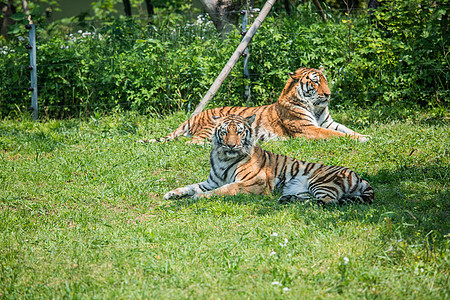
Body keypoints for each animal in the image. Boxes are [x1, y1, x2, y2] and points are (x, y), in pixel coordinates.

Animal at [144, 67, 370, 144]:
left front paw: (365, 136)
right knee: (191, 142)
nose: (328, 94)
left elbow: (346, 130)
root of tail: (194, 116)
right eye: (315, 82)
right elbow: (336, 135)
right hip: (209, 129)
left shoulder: (328, 123)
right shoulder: (308, 129)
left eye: (324, 80)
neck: (315, 107)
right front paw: (360, 139)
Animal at [163, 113, 374, 205]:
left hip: (321, 182)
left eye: (239, 132)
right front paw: (172, 193)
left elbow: (223, 190)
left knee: (328, 202)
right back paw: (287, 199)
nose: (231, 145)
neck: (223, 158)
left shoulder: (251, 182)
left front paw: (197, 198)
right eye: (224, 132)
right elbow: (189, 186)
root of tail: (360, 177)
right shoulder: (210, 182)